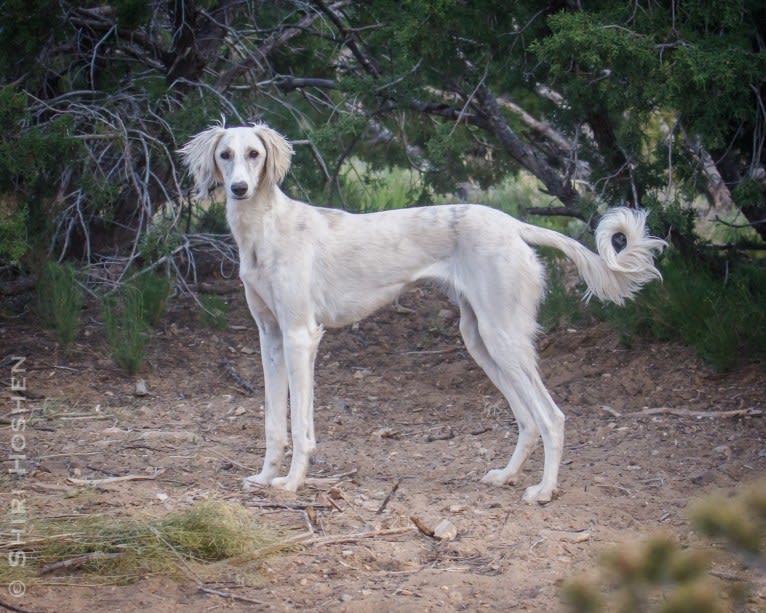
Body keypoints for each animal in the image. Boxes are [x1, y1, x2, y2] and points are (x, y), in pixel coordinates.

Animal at [182, 123, 664, 502]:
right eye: (225, 155)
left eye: (254, 154)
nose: (239, 189)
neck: (265, 229)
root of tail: (513, 224)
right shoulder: (270, 338)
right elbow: (272, 422)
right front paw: (266, 477)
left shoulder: (301, 336)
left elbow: (300, 425)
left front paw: (292, 483)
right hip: (480, 339)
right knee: (528, 419)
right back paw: (507, 476)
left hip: (504, 337)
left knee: (551, 416)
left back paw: (544, 491)